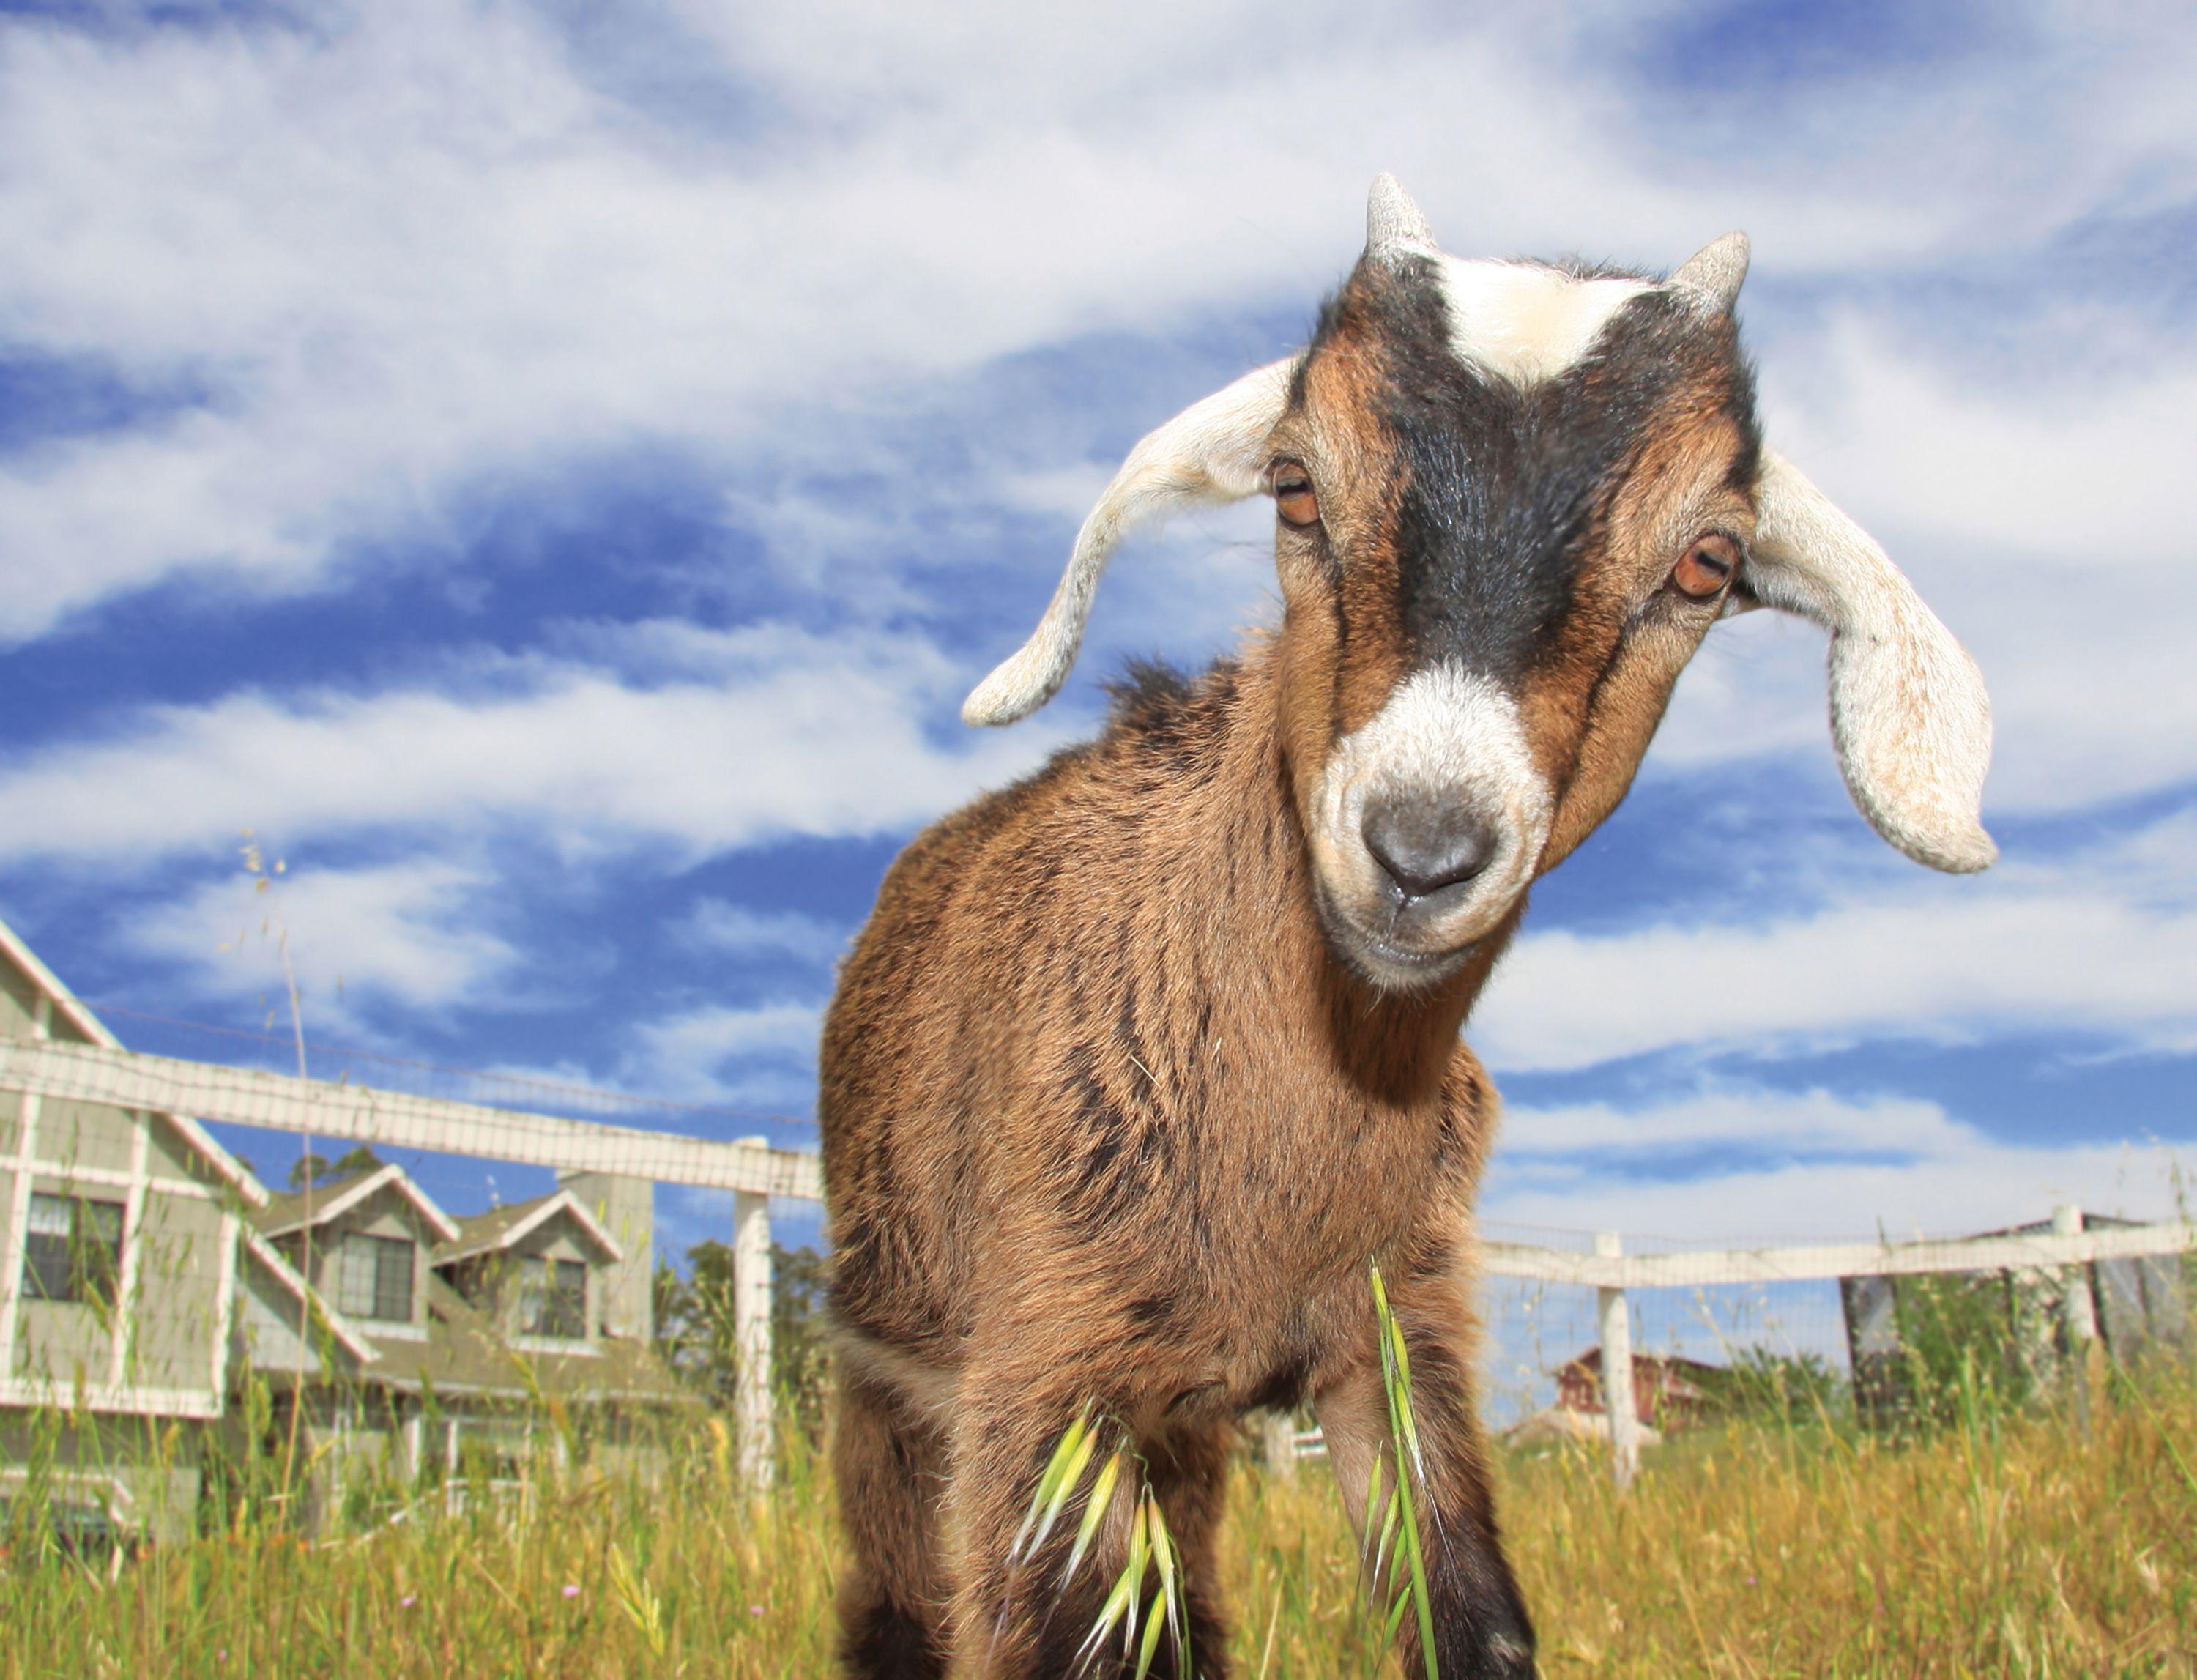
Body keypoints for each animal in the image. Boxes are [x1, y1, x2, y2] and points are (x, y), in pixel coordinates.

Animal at [817, 176, 1993, 1679]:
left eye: (1707, 563)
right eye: (1294, 483)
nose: (1421, 850)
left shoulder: (1401, 1330)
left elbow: (1467, 1612)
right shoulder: (1045, 1356)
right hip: (894, 1367)